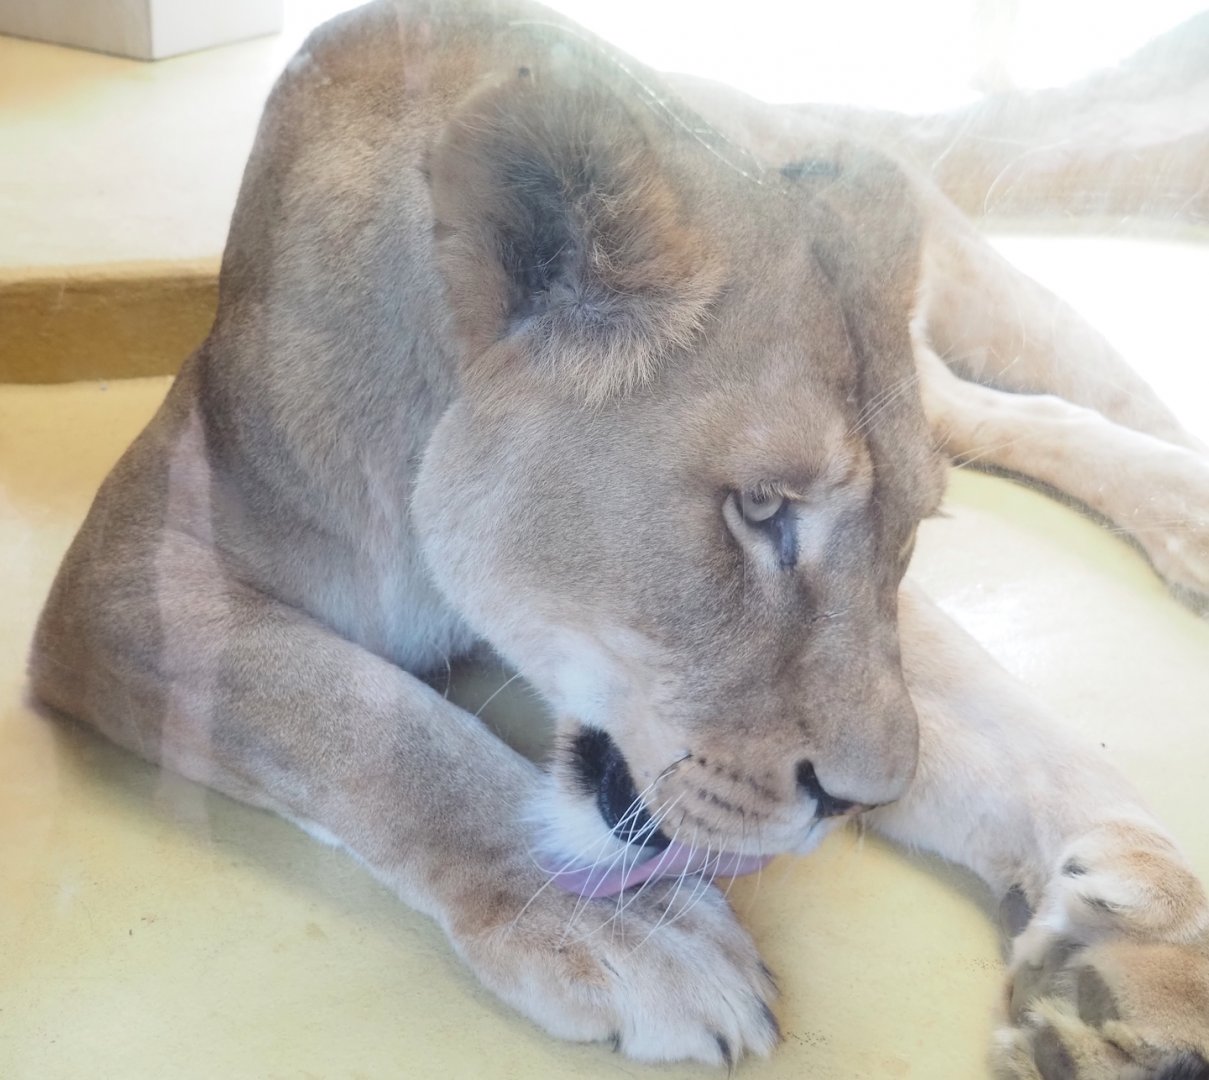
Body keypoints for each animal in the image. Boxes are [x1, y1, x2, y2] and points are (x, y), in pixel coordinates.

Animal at [28, 0, 1209, 1075]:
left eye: (907, 534)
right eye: (761, 509)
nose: (855, 805)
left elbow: (1000, 728)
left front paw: (1134, 945)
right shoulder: (130, 569)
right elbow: (369, 719)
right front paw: (621, 926)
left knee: (1026, 405)